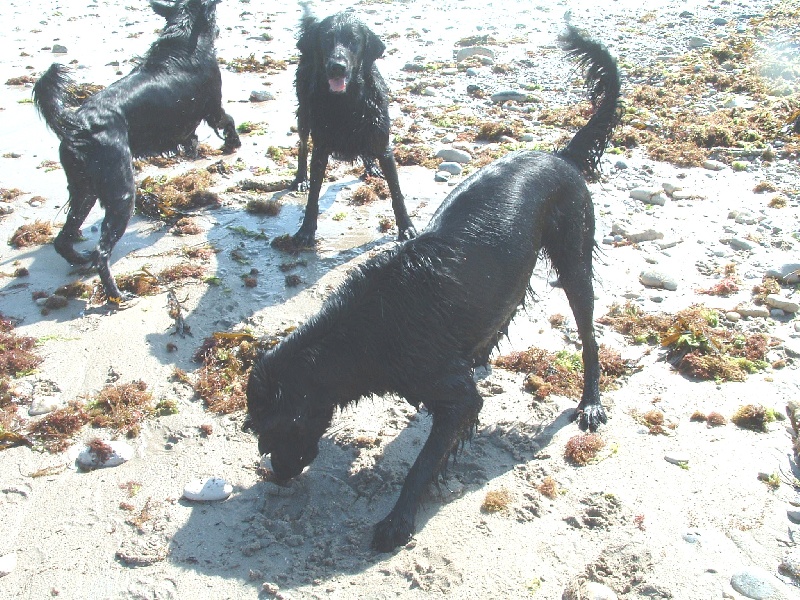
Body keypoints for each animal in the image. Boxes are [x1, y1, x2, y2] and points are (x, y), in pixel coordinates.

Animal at [288, 7, 416, 246]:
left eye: (354, 40)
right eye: (326, 39)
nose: (337, 67)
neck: (346, 102)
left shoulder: (383, 144)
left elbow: (396, 193)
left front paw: (406, 227)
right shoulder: (320, 149)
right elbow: (313, 196)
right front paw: (306, 230)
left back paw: (371, 166)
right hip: (304, 114)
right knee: (302, 145)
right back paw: (301, 179)